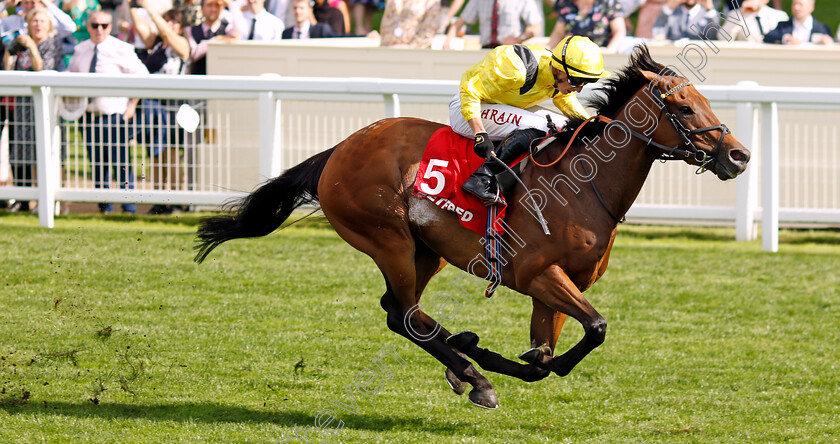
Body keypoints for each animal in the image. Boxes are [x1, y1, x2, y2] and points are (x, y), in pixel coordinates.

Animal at [195, 46, 748, 410]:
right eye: (683, 107)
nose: (738, 156)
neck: (582, 186)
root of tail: (341, 149)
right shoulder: (540, 275)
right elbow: (594, 330)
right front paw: (478, 354)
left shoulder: (556, 290)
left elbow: (544, 358)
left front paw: (485, 350)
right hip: (387, 237)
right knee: (405, 314)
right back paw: (474, 376)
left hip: (427, 250)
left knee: (398, 312)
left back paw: (463, 363)